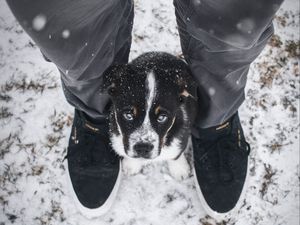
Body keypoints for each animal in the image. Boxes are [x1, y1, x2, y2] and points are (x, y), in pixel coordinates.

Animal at [102, 51, 198, 180]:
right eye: (128, 115)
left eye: (162, 117)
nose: (143, 148)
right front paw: (131, 165)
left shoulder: (183, 129)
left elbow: (176, 153)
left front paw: (179, 169)